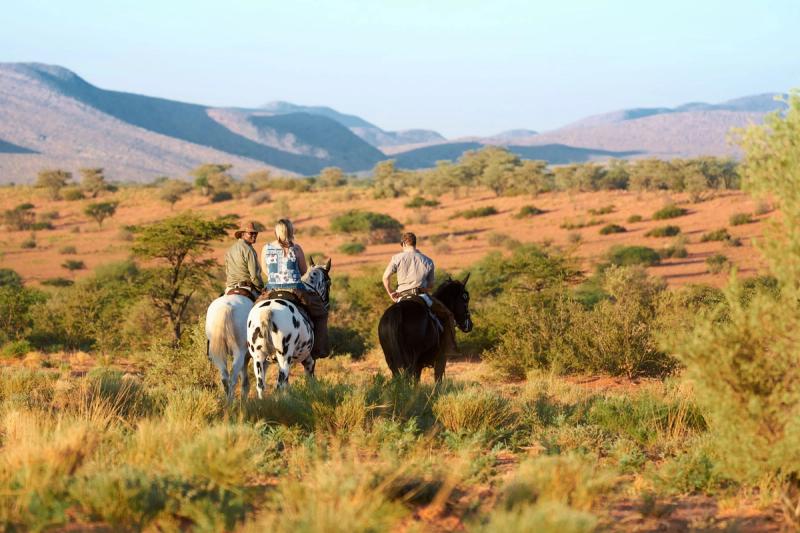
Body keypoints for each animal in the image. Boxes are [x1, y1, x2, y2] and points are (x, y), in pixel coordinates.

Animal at [246, 258, 332, 398]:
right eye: (329, 283)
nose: (327, 304)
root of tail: (268, 312)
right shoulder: (309, 361)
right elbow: (310, 381)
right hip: (284, 359)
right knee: (279, 385)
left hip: (258, 358)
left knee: (261, 386)